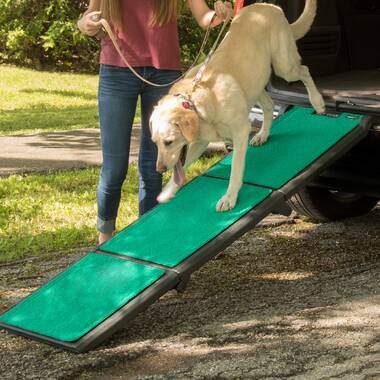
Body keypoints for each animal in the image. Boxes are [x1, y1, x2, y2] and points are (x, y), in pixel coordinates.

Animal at [150, 0, 326, 212]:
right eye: (155, 142)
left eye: (168, 142)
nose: (159, 169)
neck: (198, 101)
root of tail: (270, 6)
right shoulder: (199, 143)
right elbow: (182, 168)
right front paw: (167, 192)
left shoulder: (241, 131)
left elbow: (235, 170)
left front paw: (230, 197)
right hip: (255, 82)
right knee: (269, 104)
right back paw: (262, 135)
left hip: (284, 67)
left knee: (304, 71)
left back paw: (318, 101)